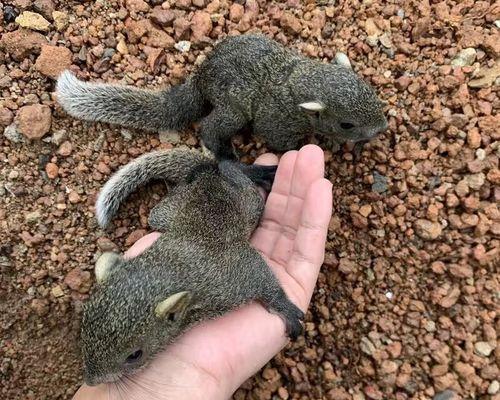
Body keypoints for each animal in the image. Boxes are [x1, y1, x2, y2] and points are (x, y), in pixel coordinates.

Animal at [56, 34, 388, 159]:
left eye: (374, 96)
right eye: (346, 123)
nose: (382, 129)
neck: (299, 78)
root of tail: (200, 77)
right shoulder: (276, 121)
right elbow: (280, 141)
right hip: (233, 109)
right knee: (210, 127)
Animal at [81, 148, 304, 386]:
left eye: (135, 355)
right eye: (82, 329)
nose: (91, 381)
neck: (169, 267)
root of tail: (206, 179)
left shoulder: (233, 277)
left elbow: (262, 277)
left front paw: (283, 306)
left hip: (250, 204)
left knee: (233, 174)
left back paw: (239, 168)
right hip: (165, 213)